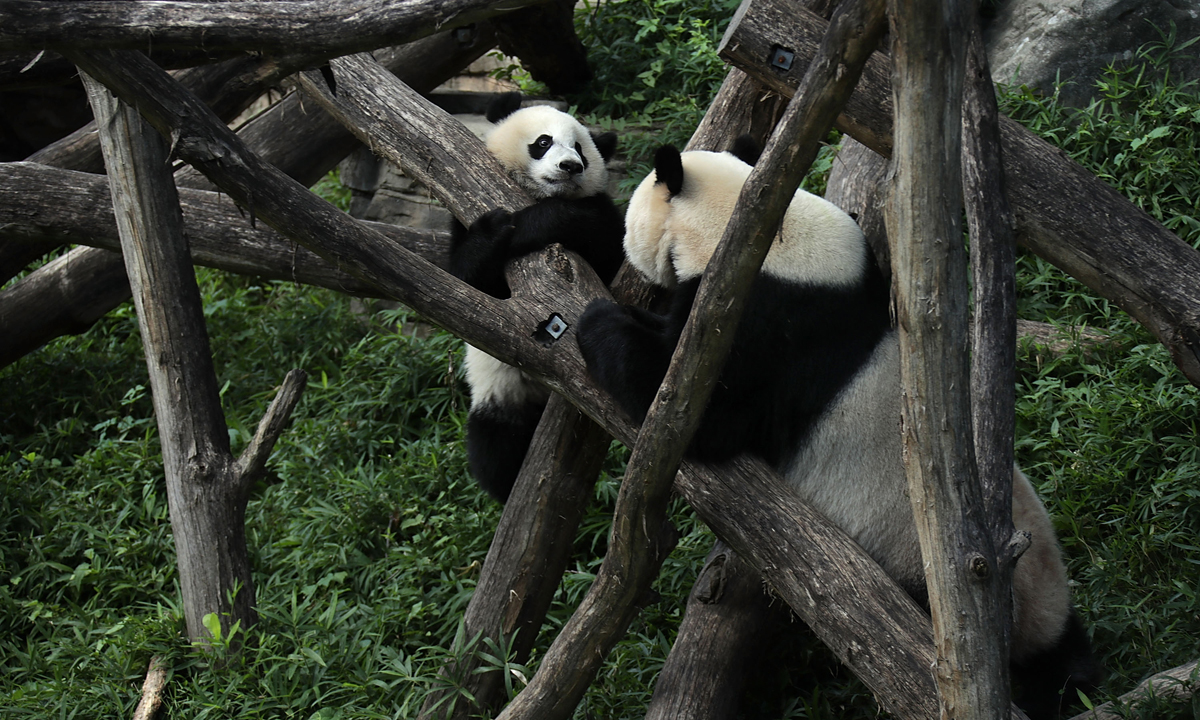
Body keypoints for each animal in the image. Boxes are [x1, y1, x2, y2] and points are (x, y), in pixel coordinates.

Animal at [449, 92, 623, 503]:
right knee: (494, 443)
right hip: (503, 391)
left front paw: (539, 223)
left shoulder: (604, 220)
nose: (571, 167)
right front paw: (496, 230)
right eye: (544, 141)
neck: (535, 195)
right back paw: (507, 486)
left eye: (581, 149)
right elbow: (465, 282)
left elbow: (602, 240)